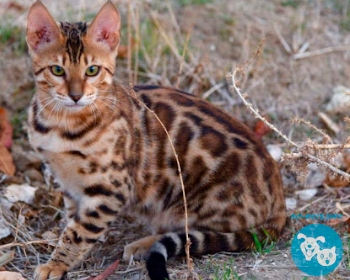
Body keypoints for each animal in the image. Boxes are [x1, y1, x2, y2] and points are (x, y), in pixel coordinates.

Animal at [26, 0, 286, 280]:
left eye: (92, 70)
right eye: (57, 70)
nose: (76, 96)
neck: (61, 124)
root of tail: (280, 202)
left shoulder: (110, 188)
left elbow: (80, 231)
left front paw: (56, 264)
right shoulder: (68, 184)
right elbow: (73, 220)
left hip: (192, 199)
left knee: (194, 234)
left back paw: (144, 244)